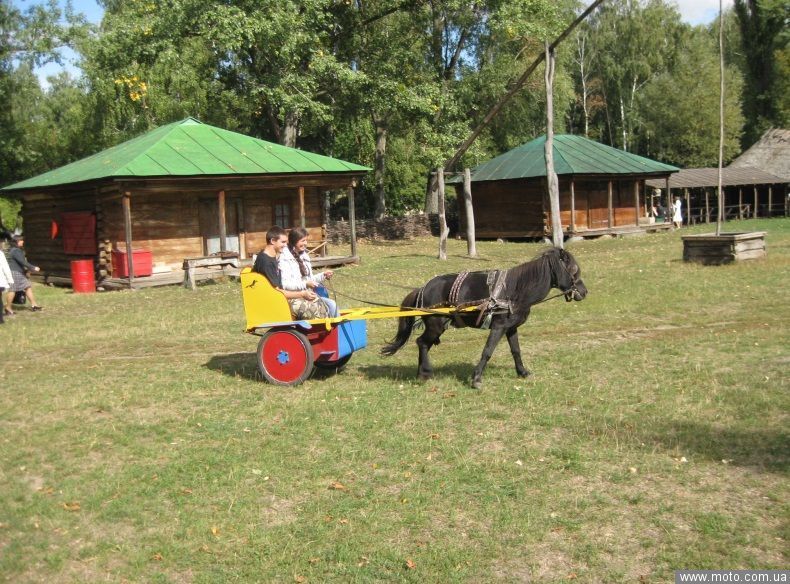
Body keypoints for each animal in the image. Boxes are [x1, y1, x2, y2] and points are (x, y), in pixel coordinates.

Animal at [384, 246, 588, 388]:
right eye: (574, 270)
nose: (584, 292)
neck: (515, 291)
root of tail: (422, 289)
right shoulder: (498, 327)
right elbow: (488, 351)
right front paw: (476, 379)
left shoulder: (511, 328)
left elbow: (516, 351)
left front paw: (522, 372)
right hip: (436, 326)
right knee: (422, 343)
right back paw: (424, 373)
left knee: (423, 343)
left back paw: (422, 374)